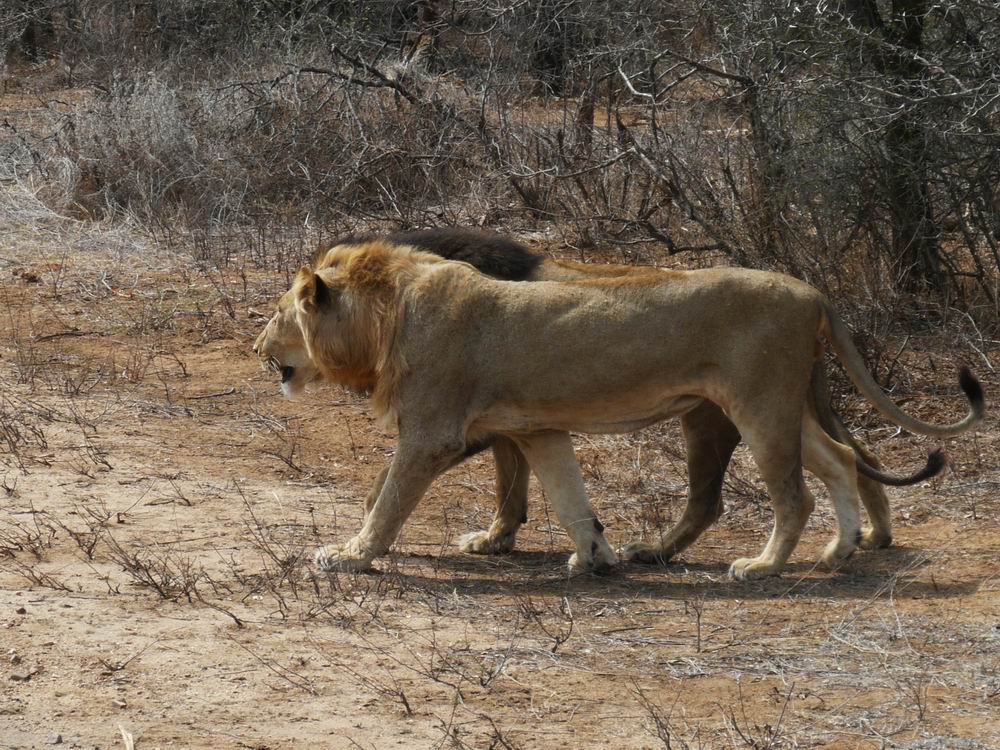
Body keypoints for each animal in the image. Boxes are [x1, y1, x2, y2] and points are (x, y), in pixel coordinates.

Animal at [254, 235, 980, 580]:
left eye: (279, 313)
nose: (258, 347)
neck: (388, 311)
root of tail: (811, 290)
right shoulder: (539, 429)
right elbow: (568, 497)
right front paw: (595, 555)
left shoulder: (433, 433)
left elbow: (387, 502)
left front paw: (350, 554)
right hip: (777, 406)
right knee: (839, 458)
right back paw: (840, 550)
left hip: (755, 406)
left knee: (795, 493)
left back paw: (764, 565)